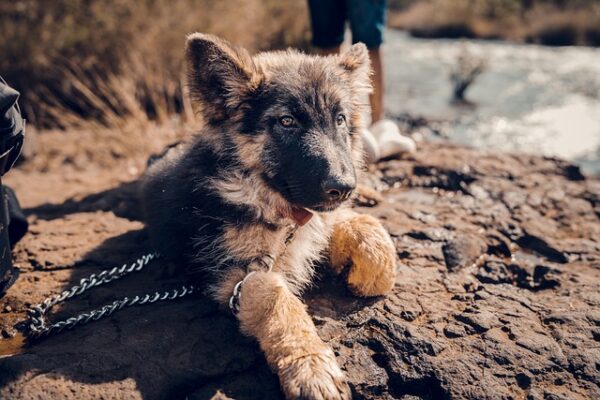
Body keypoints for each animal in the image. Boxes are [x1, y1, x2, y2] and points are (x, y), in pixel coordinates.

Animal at [141, 35, 398, 400]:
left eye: (340, 119)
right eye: (287, 121)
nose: (345, 188)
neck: (266, 197)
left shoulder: (315, 221)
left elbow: (365, 229)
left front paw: (366, 272)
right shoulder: (235, 272)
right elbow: (275, 299)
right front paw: (309, 364)